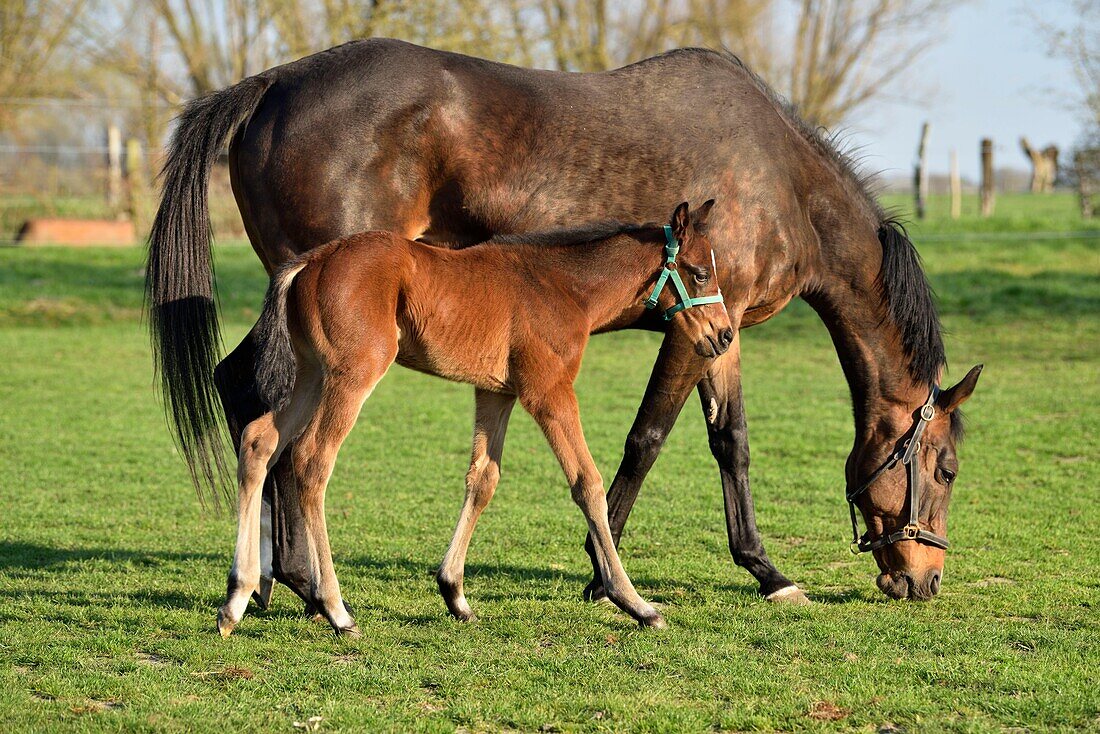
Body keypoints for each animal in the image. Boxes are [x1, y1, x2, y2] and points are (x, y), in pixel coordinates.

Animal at [215, 202, 734, 638]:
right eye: (699, 272)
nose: (725, 334)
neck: (564, 287)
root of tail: (312, 261)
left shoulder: (496, 393)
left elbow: (483, 478)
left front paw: (454, 593)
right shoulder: (548, 391)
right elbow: (586, 482)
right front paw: (634, 602)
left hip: (310, 373)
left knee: (260, 442)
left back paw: (236, 598)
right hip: (352, 373)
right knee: (311, 459)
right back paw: (335, 609)